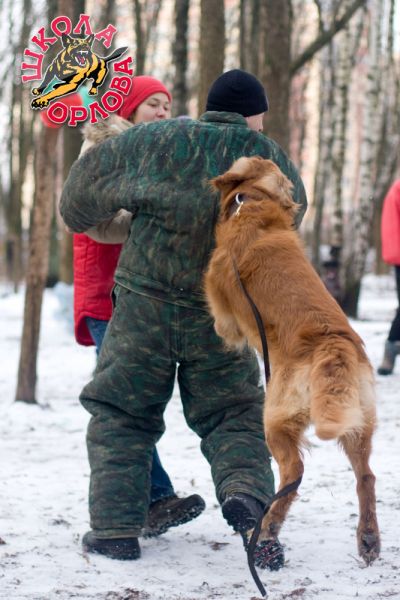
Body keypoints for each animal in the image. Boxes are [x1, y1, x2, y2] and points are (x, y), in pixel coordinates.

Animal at [204, 156, 380, 566]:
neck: (252, 205)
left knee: (294, 473)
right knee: (365, 477)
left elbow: (221, 322)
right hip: (356, 422)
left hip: (276, 419)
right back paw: (368, 539)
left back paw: (268, 526)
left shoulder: (221, 300)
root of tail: (332, 343)